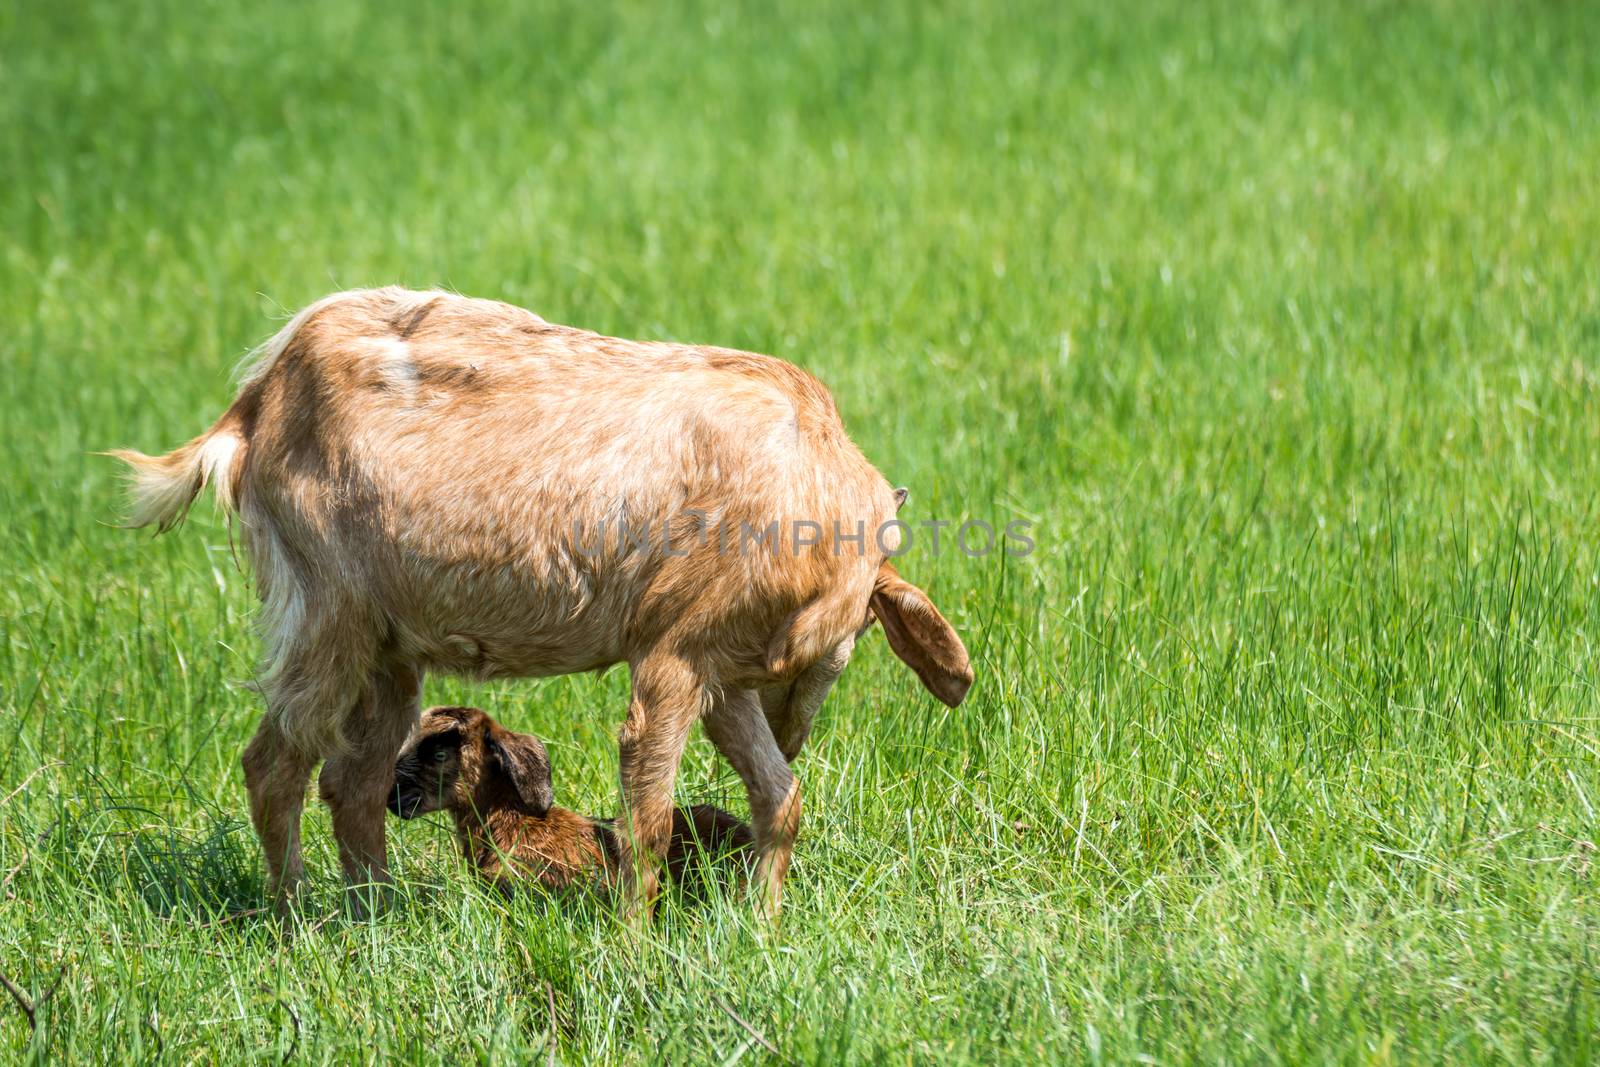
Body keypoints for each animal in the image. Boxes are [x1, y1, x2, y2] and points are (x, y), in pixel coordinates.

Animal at [112, 287, 966, 921]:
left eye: (854, 647)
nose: (797, 726)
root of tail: (255, 400)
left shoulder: (717, 669)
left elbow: (777, 797)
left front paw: (763, 927)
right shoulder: (671, 654)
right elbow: (647, 820)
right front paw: (634, 945)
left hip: (389, 643)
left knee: (352, 782)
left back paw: (375, 918)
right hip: (326, 608)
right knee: (274, 764)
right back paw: (295, 919)